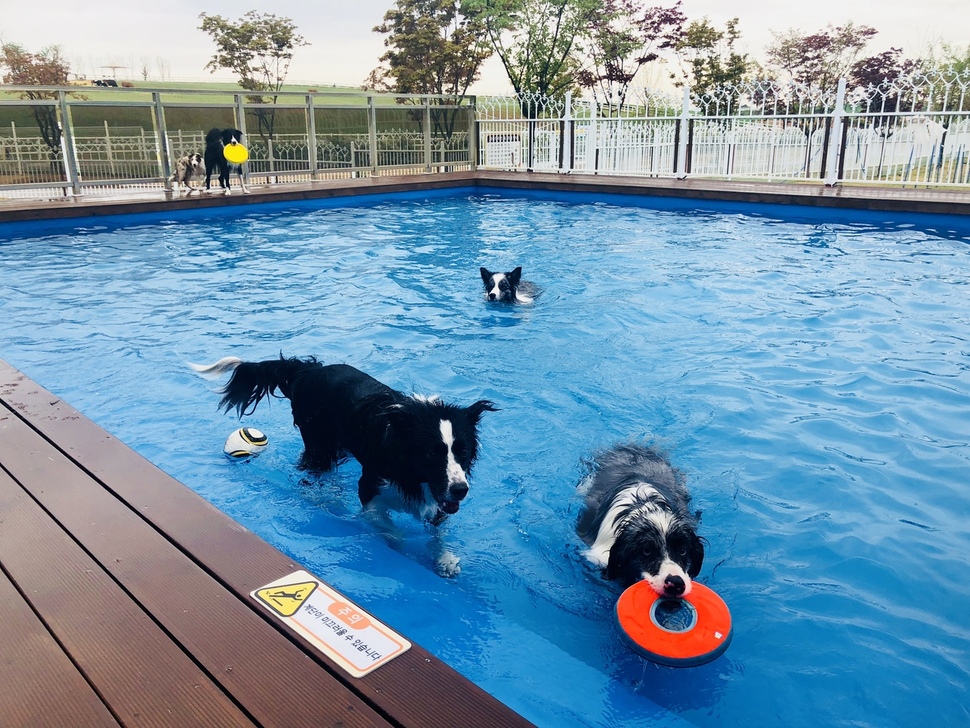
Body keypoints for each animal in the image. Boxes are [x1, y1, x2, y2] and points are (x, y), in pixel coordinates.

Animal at [188, 356, 496, 572]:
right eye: (432, 454)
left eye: (463, 451)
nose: (461, 490)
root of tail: (308, 370)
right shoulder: (370, 489)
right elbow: (393, 532)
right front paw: (402, 552)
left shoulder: (440, 495)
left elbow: (437, 532)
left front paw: (444, 560)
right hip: (319, 445)